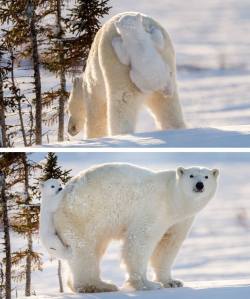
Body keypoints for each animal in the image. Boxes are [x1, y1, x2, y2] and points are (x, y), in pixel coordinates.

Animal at [53, 164, 219, 292]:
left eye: (206, 177)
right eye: (191, 175)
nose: (199, 185)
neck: (173, 197)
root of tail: (64, 194)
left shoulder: (180, 220)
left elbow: (168, 246)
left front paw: (172, 282)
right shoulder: (154, 208)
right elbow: (141, 241)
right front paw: (147, 284)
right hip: (84, 215)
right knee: (85, 250)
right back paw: (99, 285)